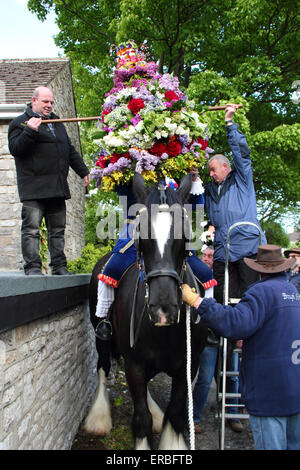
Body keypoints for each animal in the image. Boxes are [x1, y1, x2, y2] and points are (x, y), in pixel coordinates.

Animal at [82, 173, 209, 452]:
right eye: (141, 233)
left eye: (185, 234)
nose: (163, 308)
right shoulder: (134, 364)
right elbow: (141, 418)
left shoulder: (189, 365)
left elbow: (175, 413)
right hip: (101, 336)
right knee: (102, 368)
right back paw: (98, 418)